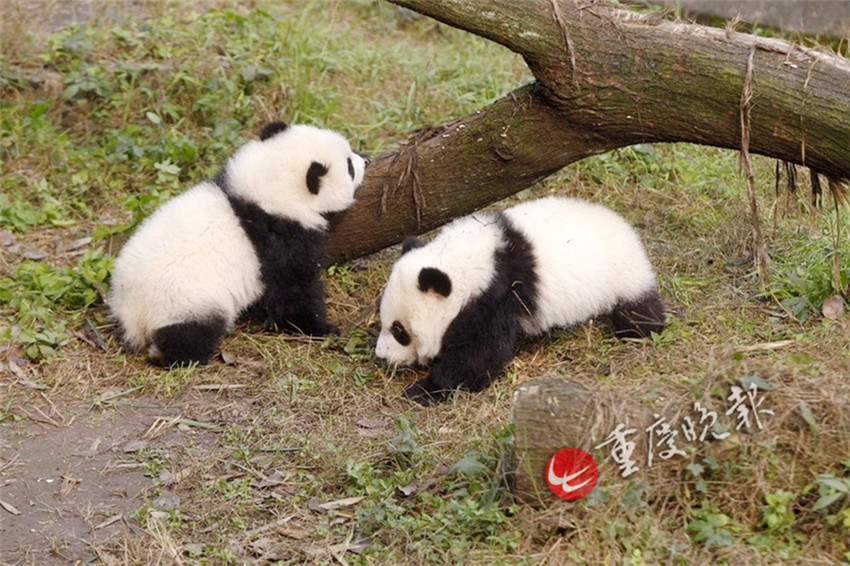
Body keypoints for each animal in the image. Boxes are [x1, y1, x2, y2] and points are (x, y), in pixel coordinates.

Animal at [109, 121, 367, 367]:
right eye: (349, 167)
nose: (365, 159)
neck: (266, 193)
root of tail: (135, 315)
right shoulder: (278, 241)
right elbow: (293, 291)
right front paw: (322, 328)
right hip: (185, 301)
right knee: (191, 332)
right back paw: (177, 357)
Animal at [375, 196, 666, 406]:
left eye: (399, 331)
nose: (382, 355)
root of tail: (624, 226)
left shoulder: (496, 297)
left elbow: (480, 355)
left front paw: (424, 390)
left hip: (623, 274)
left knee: (638, 310)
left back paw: (640, 329)